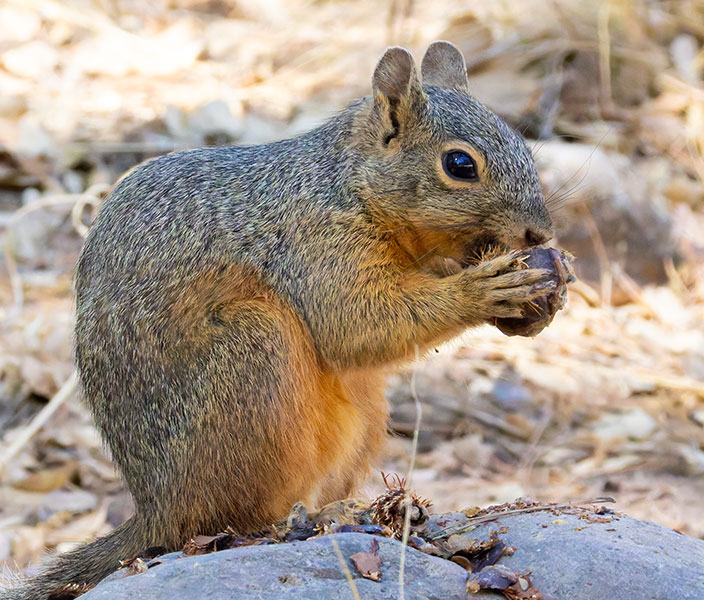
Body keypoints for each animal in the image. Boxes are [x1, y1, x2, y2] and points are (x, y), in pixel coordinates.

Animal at [5, 41, 554, 599]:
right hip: (254, 353)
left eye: (522, 145)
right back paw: (305, 519)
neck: (349, 184)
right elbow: (356, 323)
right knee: (234, 516)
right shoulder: (315, 243)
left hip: (359, 413)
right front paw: (481, 290)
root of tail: (156, 509)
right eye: (459, 164)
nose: (540, 233)